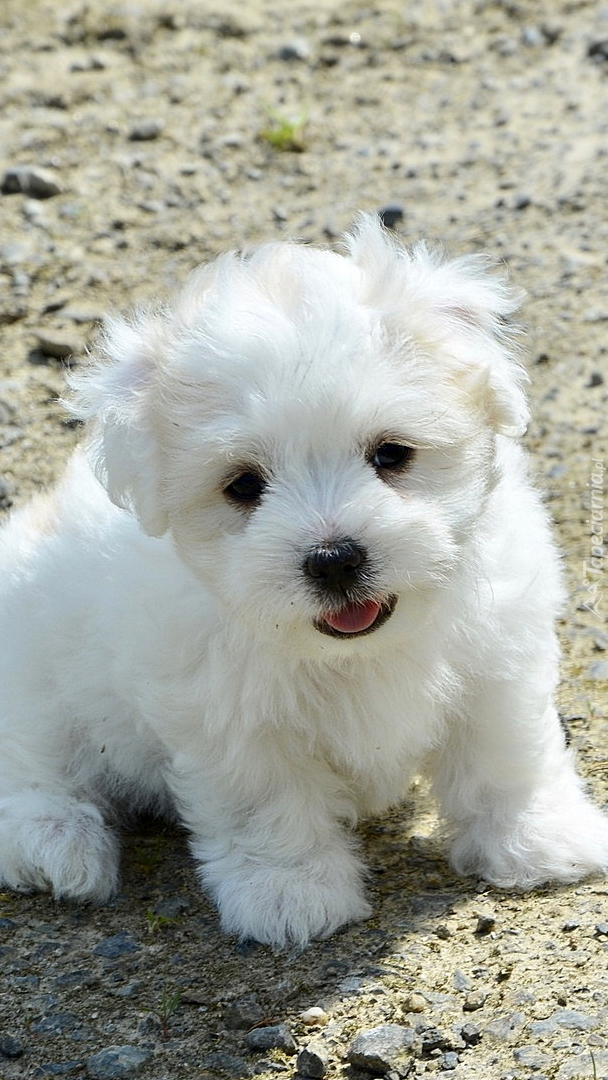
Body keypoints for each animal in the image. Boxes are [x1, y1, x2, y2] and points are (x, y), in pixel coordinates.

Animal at [1, 219, 608, 946]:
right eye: (243, 486)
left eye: (391, 454)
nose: (334, 557)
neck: (355, 650)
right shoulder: (226, 713)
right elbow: (266, 801)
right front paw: (291, 893)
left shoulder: (497, 657)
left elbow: (504, 755)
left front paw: (537, 840)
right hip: (34, 675)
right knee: (32, 764)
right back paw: (57, 841)